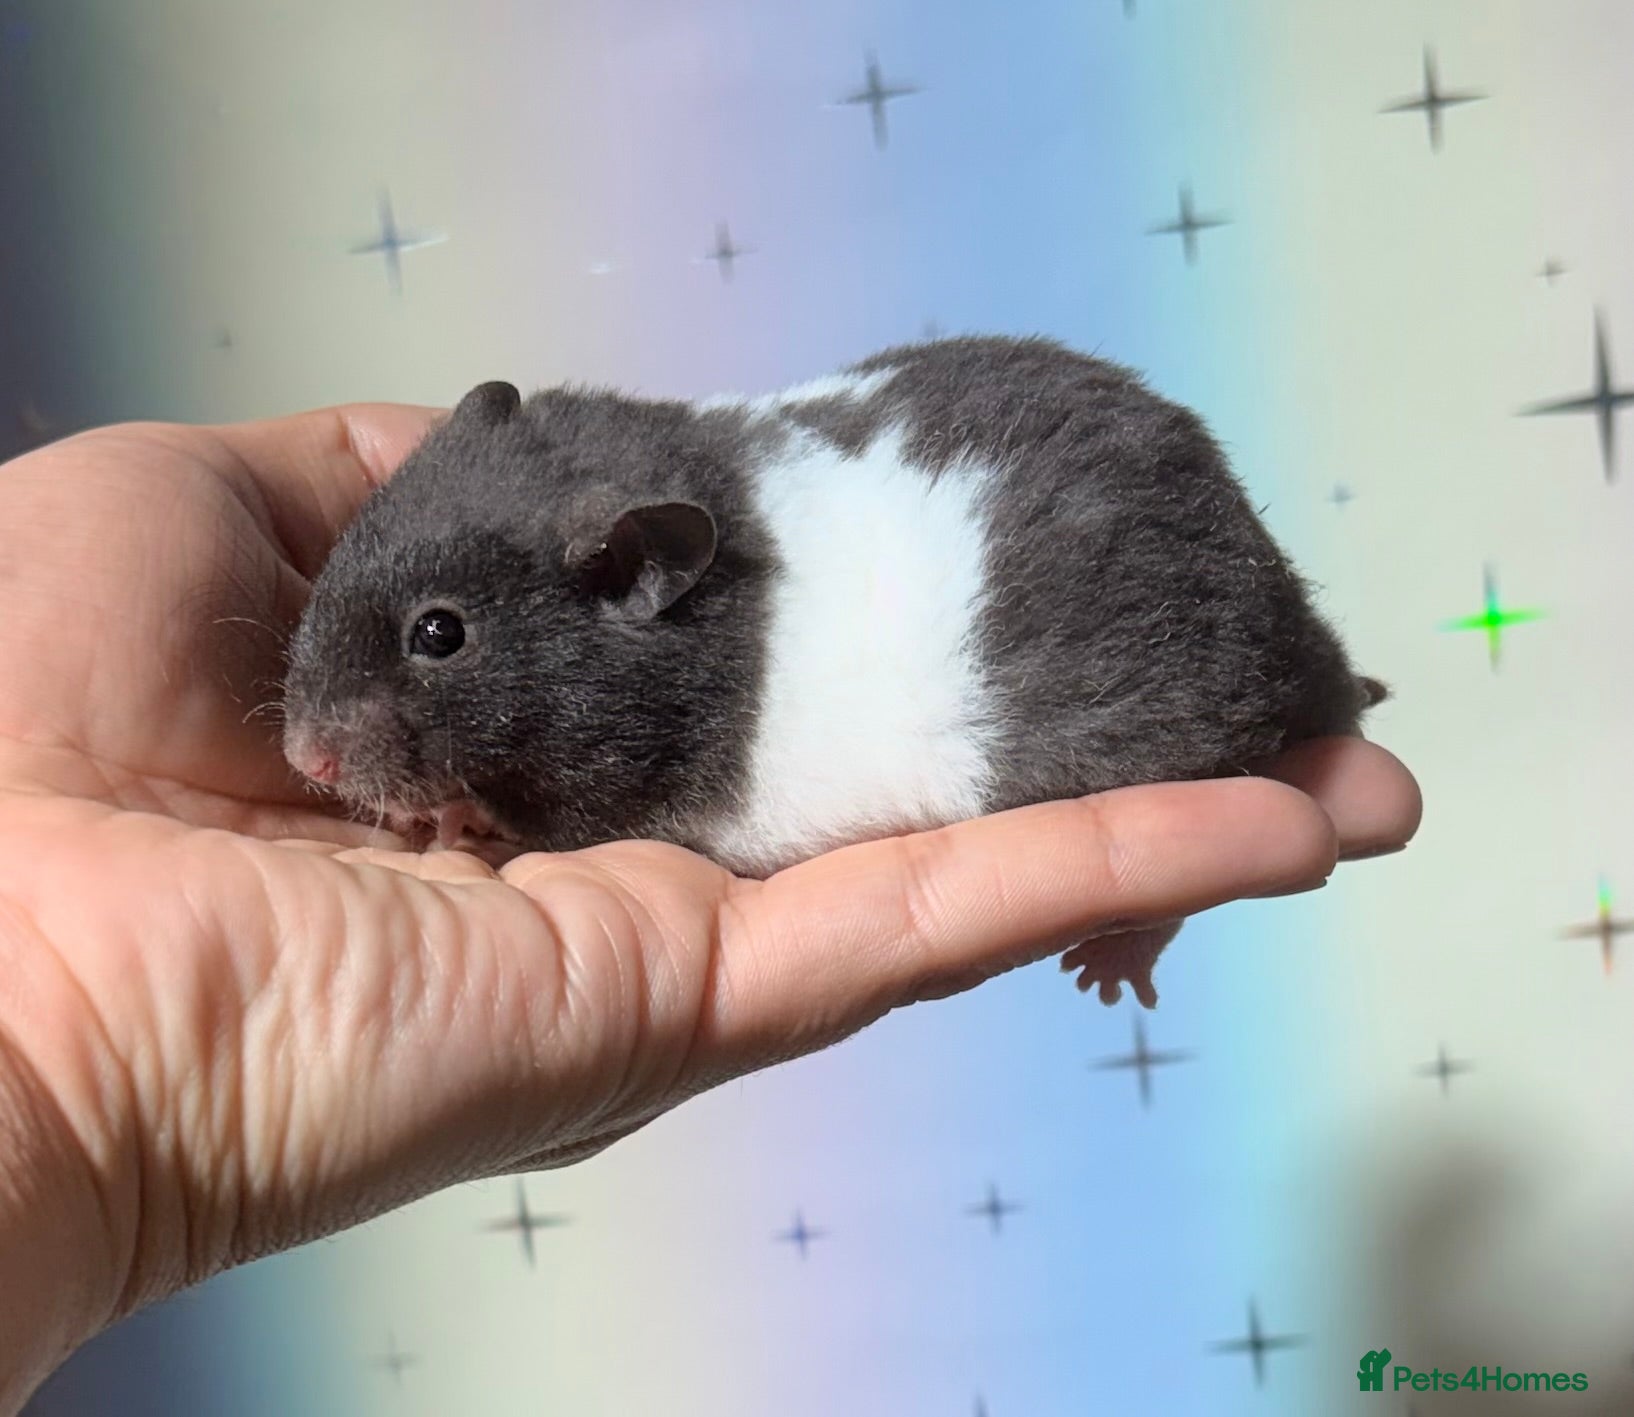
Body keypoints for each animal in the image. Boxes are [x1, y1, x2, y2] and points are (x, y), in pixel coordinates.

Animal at [281, 335, 1384, 1004]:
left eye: (439, 634)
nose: (305, 758)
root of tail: (1287, 612)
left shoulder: (613, 793)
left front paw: (456, 818)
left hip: (1158, 742)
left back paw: (1102, 972)